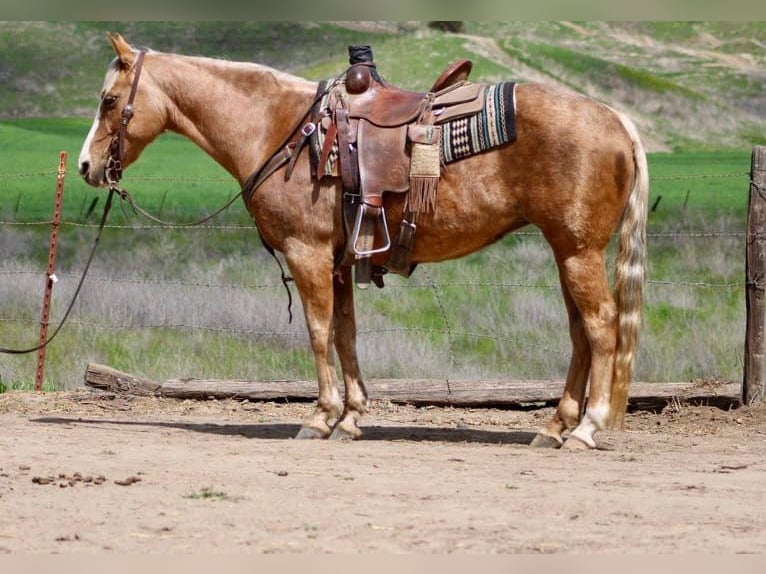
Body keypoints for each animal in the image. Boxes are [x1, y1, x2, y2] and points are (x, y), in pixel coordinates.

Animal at [78, 33, 648, 449]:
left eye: (109, 101)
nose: (85, 166)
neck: (279, 129)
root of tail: (615, 118)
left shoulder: (307, 253)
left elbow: (317, 331)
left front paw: (320, 416)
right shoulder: (337, 260)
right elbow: (345, 333)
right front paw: (350, 417)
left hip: (578, 253)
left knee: (601, 326)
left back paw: (587, 427)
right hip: (567, 252)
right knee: (580, 333)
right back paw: (554, 427)